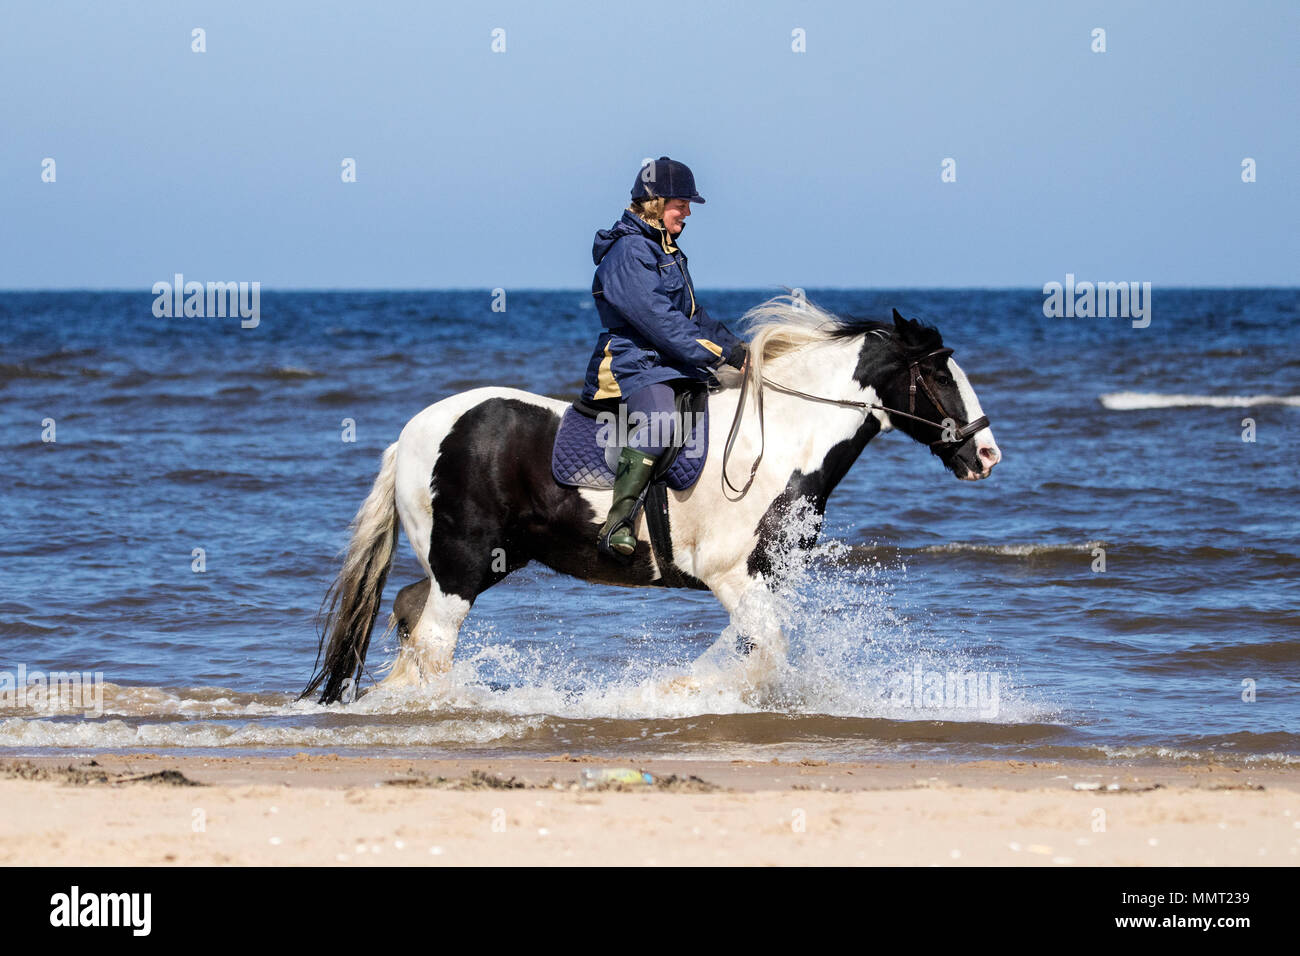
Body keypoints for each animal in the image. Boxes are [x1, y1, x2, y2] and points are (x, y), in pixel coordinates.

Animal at [301, 295, 993, 707]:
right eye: (937, 373)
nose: (986, 455)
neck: (778, 442)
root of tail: (412, 435)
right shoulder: (732, 575)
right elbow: (765, 649)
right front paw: (680, 691)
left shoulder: (763, 580)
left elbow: (750, 646)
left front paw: (679, 687)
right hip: (464, 565)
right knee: (434, 640)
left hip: (476, 563)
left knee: (409, 611)